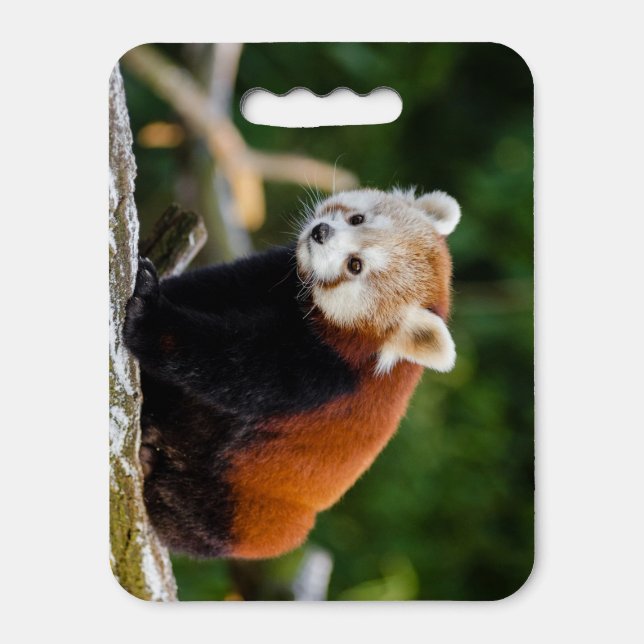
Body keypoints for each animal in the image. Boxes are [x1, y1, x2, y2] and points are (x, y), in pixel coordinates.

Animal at [124, 187, 461, 559]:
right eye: (357, 218)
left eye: (355, 265)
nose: (321, 232)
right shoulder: (270, 275)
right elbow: (209, 286)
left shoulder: (329, 371)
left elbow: (234, 369)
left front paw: (149, 318)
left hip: (248, 512)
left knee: (189, 513)